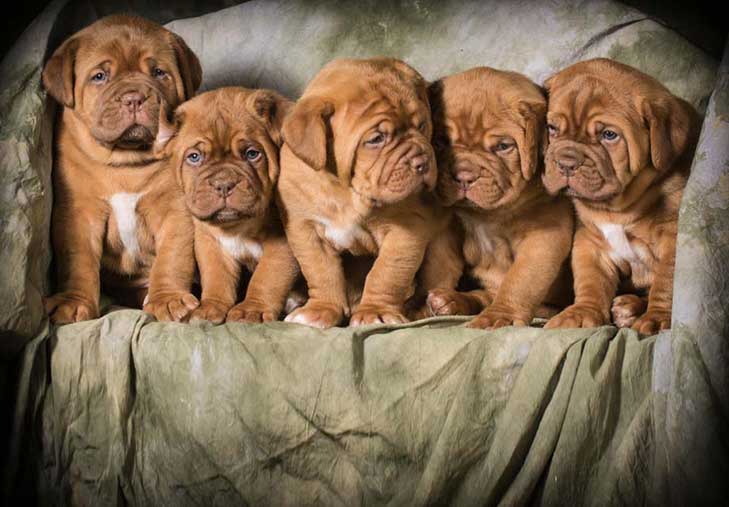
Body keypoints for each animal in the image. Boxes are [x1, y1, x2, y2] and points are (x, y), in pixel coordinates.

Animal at [42, 16, 202, 326]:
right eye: (99, 77)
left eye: (159, 73)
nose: (134, 98)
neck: (126, 163)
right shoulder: (78, 214)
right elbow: (77, 261)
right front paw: (73, 302)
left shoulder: (175, 211)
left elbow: (173, 256)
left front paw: (168, 298)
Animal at [156, 86, 298, 326]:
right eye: (194, 157)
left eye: (252, 154)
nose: (223, 184)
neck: (238, 227)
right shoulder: (211, 243)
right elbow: (217, 278)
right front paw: (210, 307)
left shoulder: (282, 243)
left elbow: (267, 276)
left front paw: (252, 309)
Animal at [276, 57, 440, 330]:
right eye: (376, 139)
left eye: (422, 125)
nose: (422, 163)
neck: (346, 191)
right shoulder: (306, 229)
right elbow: (321, 272)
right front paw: (320, 309)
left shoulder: (407, 228)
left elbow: (386, 273)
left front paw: (375, 312)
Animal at [420, 67, 576, 330]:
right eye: (441, 142)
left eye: (503, 146)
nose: (464, 176)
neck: (487, 215)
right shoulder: (448, 232)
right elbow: (439, 268)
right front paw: (420, 309)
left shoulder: (544, 236)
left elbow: (521, 279)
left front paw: (500, 315)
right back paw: (450, 301)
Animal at [540, 58, 700, 334]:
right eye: (552, 128)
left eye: (609, 135)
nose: (566, 163)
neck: (617, 208)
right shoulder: (590, 242)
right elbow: (590, 282)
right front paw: (582, 313)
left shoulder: (673, 237)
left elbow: (666, 282)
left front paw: (658, 318)